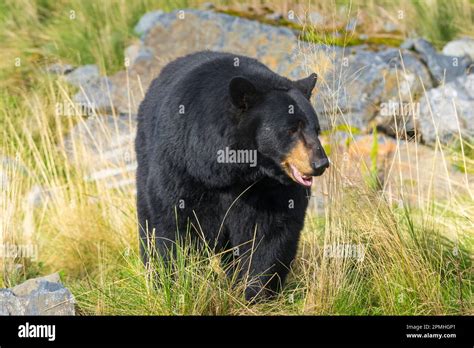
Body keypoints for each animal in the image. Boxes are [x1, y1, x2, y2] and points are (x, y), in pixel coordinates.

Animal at [135, 50, 330, 300]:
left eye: (316, 129)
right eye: (292, 129)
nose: (321, 163)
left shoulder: (268, 188)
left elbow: (269, 232)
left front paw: (254, 292)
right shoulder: (182, 168)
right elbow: (176, 225)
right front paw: (181, 285)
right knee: (148, 222)